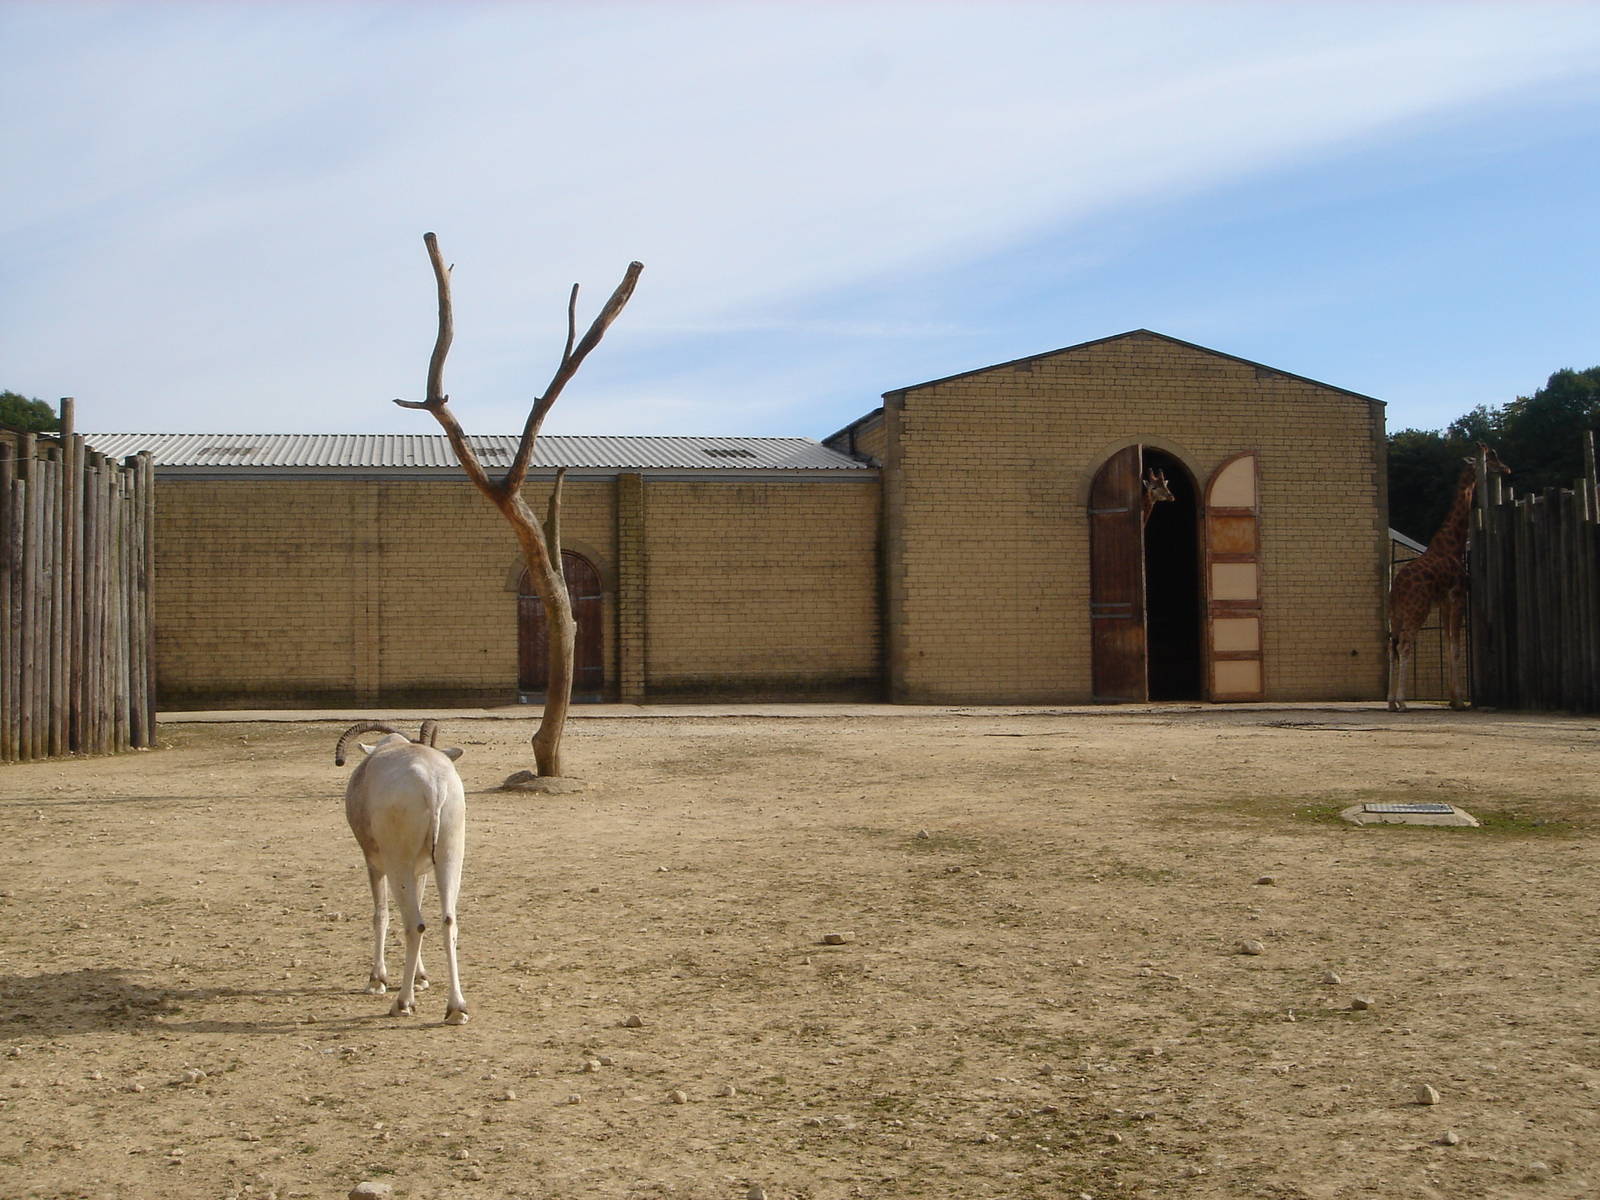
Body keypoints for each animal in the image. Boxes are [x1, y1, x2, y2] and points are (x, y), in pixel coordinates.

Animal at [1386, 445, 1510, 712]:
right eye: (1492, 457)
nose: (1507, 468)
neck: (1452, 543)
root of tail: (1397, 587)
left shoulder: (1443, 602)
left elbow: (1447, 641)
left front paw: (1454, 699)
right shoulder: (1457, 596)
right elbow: (1455, 647)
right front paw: (1460, 700)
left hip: (1396, 614)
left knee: (1392, 647)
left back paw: (1391, 701)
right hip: (1417, 609)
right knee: (1404, 644)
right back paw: (1402, 701)